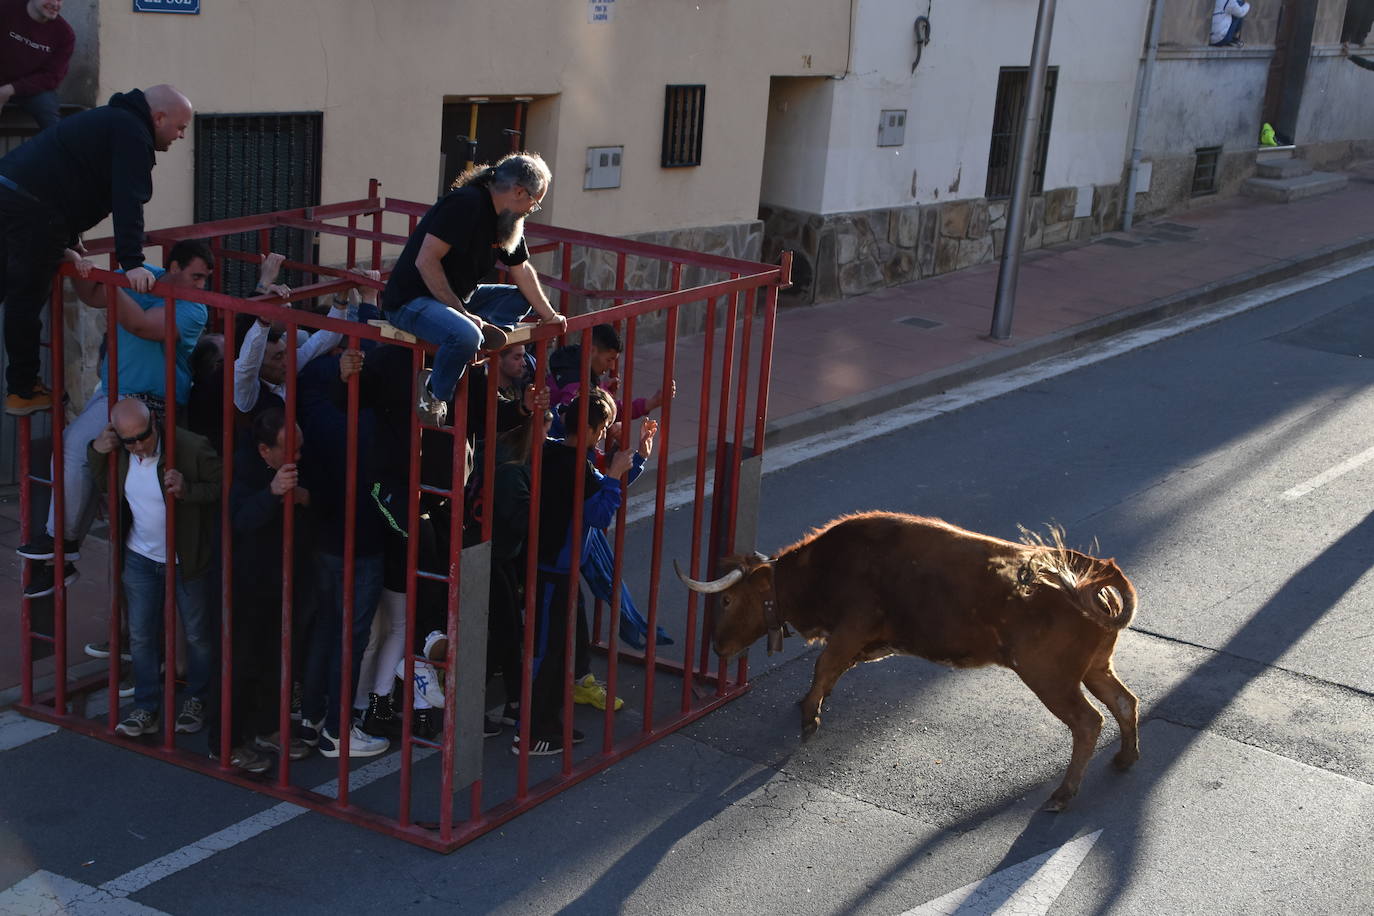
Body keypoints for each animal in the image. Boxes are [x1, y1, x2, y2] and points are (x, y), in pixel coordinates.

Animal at [676, 513, 1137, 813]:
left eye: (727, 600)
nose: (717, 646)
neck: (824, 568)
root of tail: (1093, 572)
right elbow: (832, 672)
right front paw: (812, 703)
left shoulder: (850, 631)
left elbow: (823, 666)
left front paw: (809, 716)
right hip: (1095, 668)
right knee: (1124, 702)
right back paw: (1125, 759)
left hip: (1051, 679)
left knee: (1088, 722)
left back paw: (1063, 794)